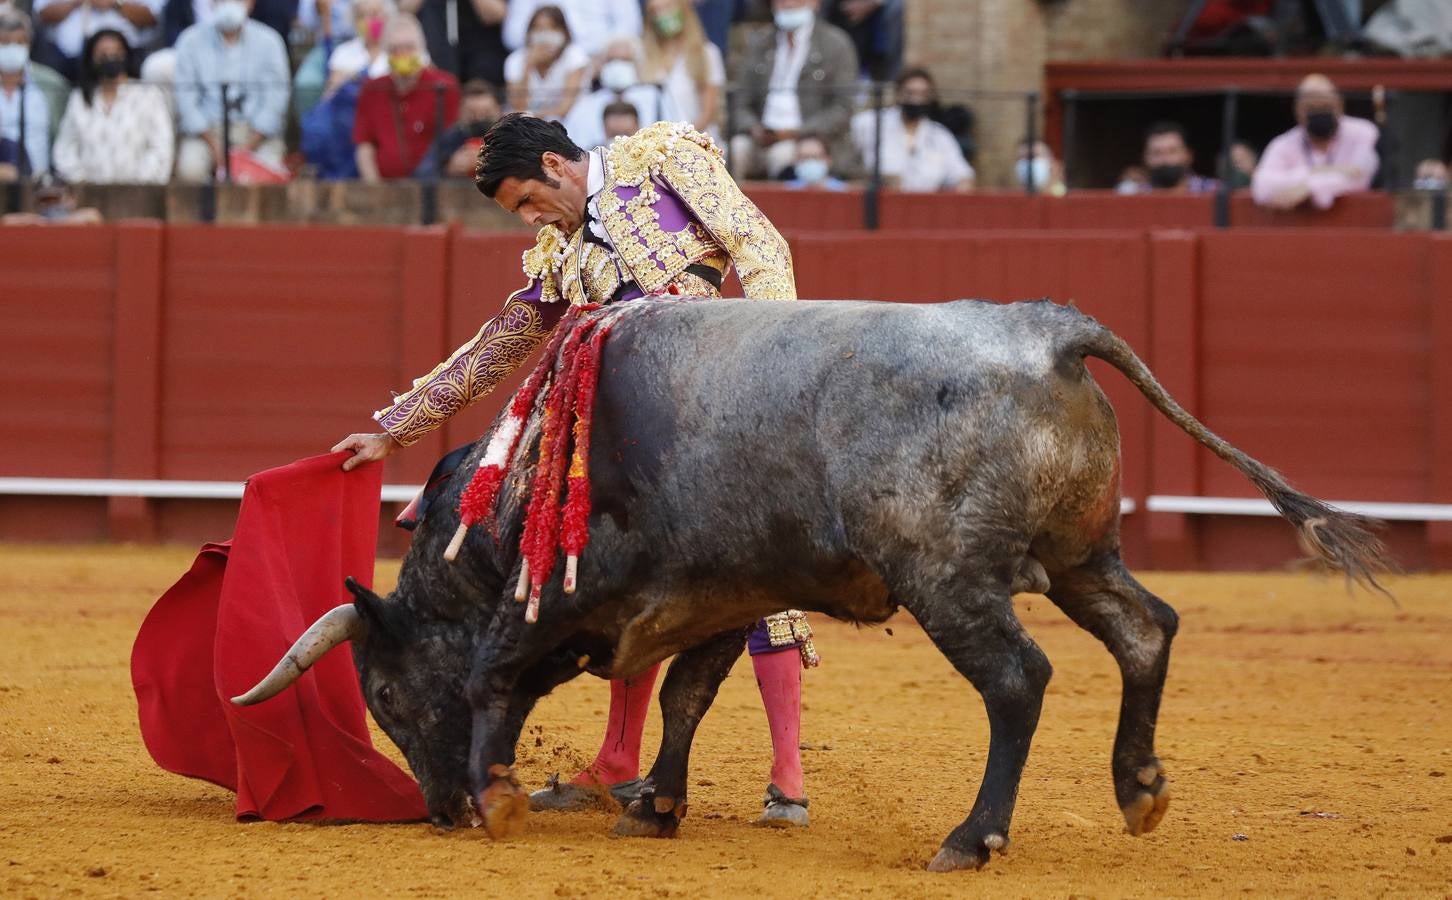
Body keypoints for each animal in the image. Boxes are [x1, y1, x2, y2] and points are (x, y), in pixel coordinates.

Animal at [232, 300, 1388, 870]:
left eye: (384, 694)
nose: (434, 813)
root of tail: (1050, 330)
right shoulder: (718, 592)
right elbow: (688, 696)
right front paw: (653, 806)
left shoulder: (558, 596)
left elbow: (489, 680)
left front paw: (502, 798)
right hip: (1079, 556)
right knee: (1146, 631)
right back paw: (1139, 790)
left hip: (949, 578)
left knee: (1018, 681)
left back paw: (971, 839)